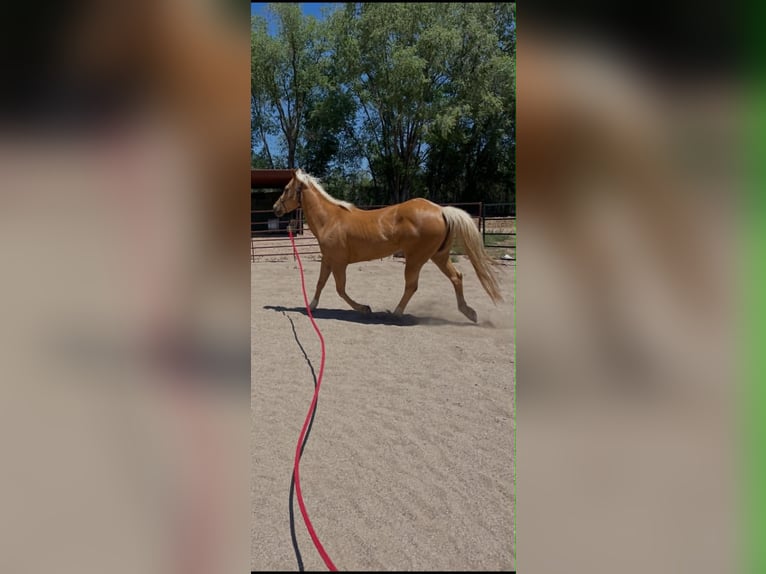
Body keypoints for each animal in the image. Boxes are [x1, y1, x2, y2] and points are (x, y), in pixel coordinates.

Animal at [273, 169, 503, 322]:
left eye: (286, 189)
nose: (275, 208)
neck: (330, 220)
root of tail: (440, 210)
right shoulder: (328, 259)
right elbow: (320, 283)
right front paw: (311, 306)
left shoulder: (339, 262)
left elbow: (340, 289)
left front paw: (364, 308)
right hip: (439, 256)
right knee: (457, 277)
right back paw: (469, 312)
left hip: (416, 259)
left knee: (412, 285)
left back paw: (396, 313)